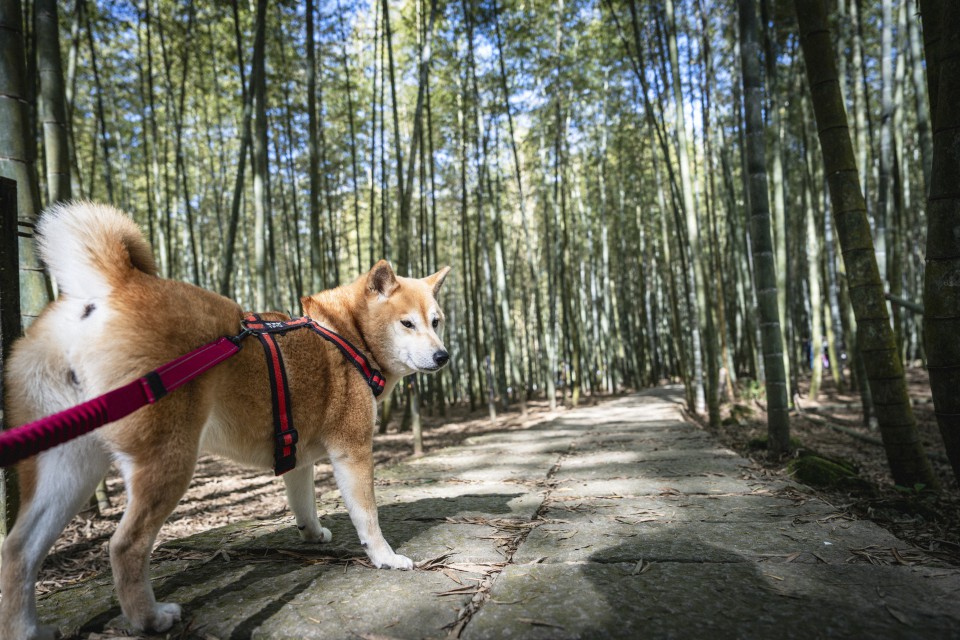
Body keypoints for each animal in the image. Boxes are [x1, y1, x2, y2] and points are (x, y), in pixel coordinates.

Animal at [0, 204, 452, 640]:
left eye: (436, 321)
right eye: (407, 323)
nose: (443, 355)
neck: (347, 334)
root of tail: (115, 286)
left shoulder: (299, 457)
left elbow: (303, 502)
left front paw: (312, 534)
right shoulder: (353, 449)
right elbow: (368, 516)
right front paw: (385, 558)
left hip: (71, 466)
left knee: (18, 550)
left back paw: (28, 629)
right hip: (167, 460)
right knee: (125, 545)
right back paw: (149, 618)